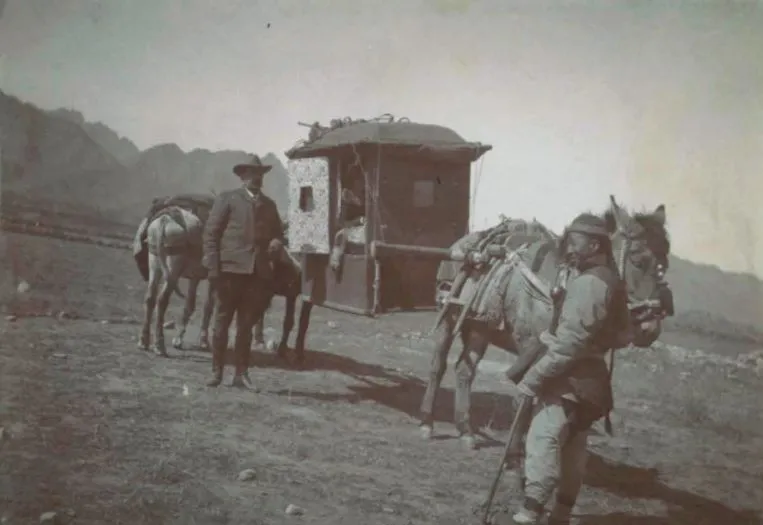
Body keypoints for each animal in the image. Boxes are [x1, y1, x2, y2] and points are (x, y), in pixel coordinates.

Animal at [133, 197, 314, 362]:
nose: (297, 273)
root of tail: (164, 220)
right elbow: (208, 307)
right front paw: (203, 341)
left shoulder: (197, 276)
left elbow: (191, 305)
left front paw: (181, 339)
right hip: (173, 268)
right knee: (162, 300)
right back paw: (159, 345)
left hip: (155, 264)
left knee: (150, 298)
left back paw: (144, 341)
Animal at [417, 196, 674, 449]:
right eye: (637, 260)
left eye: (664, 264)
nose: (650, 329)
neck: (560, 284)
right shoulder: (529, 345)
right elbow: (525, 398)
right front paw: (517, 451)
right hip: (449, 318)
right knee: (438, 365)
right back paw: (427, 421)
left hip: (480, 327)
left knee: (464, 370)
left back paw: (466, 430)